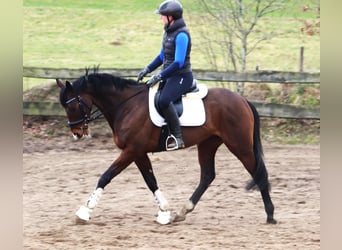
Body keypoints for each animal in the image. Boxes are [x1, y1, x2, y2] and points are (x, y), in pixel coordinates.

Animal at [55, 70, 276, 225]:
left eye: (71, 106)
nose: (77, 133)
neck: (127, 105)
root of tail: (243, 100)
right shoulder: (138, 153)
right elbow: (151, 180)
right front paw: (165, 212)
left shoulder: (131, 150)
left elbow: (106, 176)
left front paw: (85, 211)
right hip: (208, 144)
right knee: (207, 176)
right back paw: (182, 212)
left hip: (240, 146)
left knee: (258, 173)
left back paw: (270, 215)